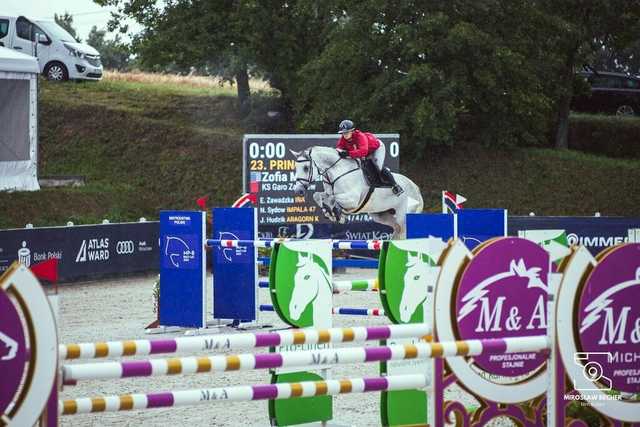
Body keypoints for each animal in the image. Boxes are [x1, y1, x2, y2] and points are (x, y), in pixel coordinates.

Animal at [292, 147, 422, 241]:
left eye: (306, 168)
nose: (298, 191)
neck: (338, 171)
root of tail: (416, 188)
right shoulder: (328, 193)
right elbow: (318, 196)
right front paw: (330, 212)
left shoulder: (352, 199)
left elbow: (334, 198)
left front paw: (337, 213)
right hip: (382, 215)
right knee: (397, 230)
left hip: (403, 216)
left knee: (403, 232)